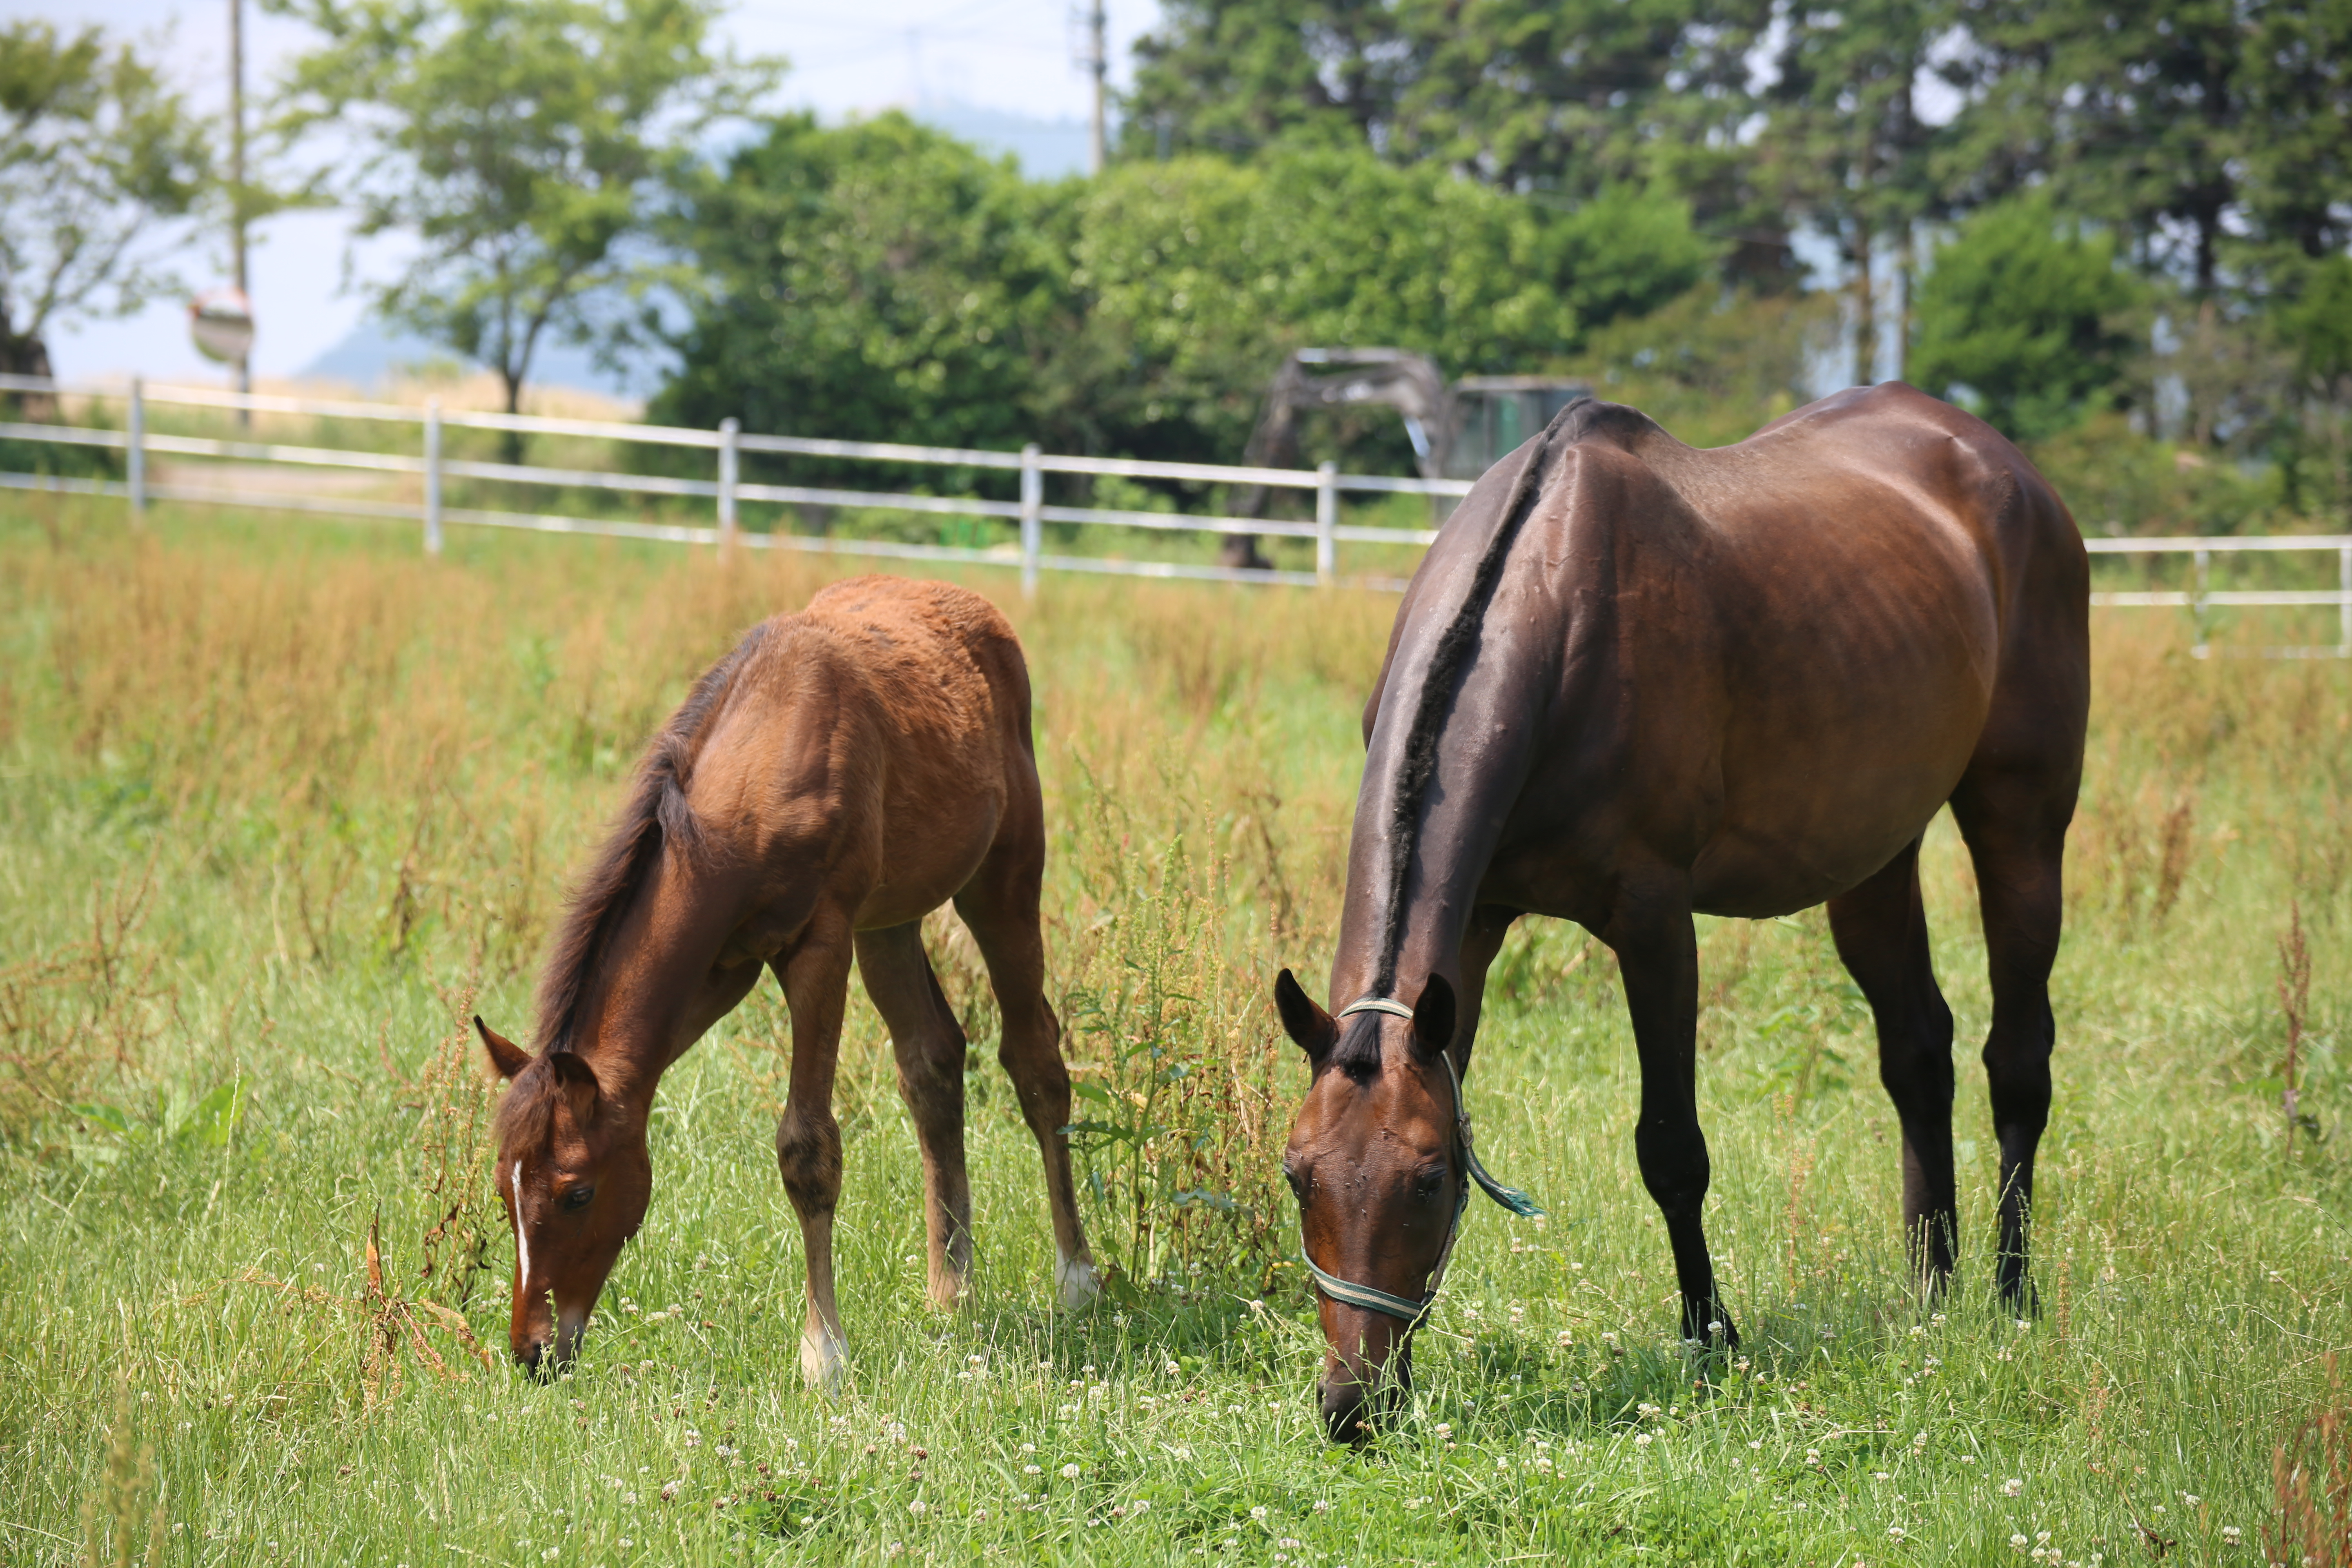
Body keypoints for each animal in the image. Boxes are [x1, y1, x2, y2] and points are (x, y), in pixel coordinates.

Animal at [484, 576, 1100, 1382]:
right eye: (504, 1189)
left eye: (577, 1193)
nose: (533, 1351)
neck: (755, 775)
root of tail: (975, 607)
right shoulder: (719, 971)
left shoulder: (820, 945)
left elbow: (807, 1148)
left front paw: (823, 1354)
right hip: (890, 921)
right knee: (932, 1063)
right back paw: (952, 1287)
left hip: (1003, 882)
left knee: (1036, 1062)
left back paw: (1077, 1278)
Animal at [1279, 385, 2088, 1439]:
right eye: (1297, 1173)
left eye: (1425, 1178)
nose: (1352, 1404)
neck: (1557, 610)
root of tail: (2004, 466)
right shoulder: (1477, 923)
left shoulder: (1654, 921)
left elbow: (1671, 1148)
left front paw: (1712, 1338)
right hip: (1873, 855)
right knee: (1918, 1051)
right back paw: (1931, 1291)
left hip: (2021, 820)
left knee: (2016, 1060)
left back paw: (2009, 1291)